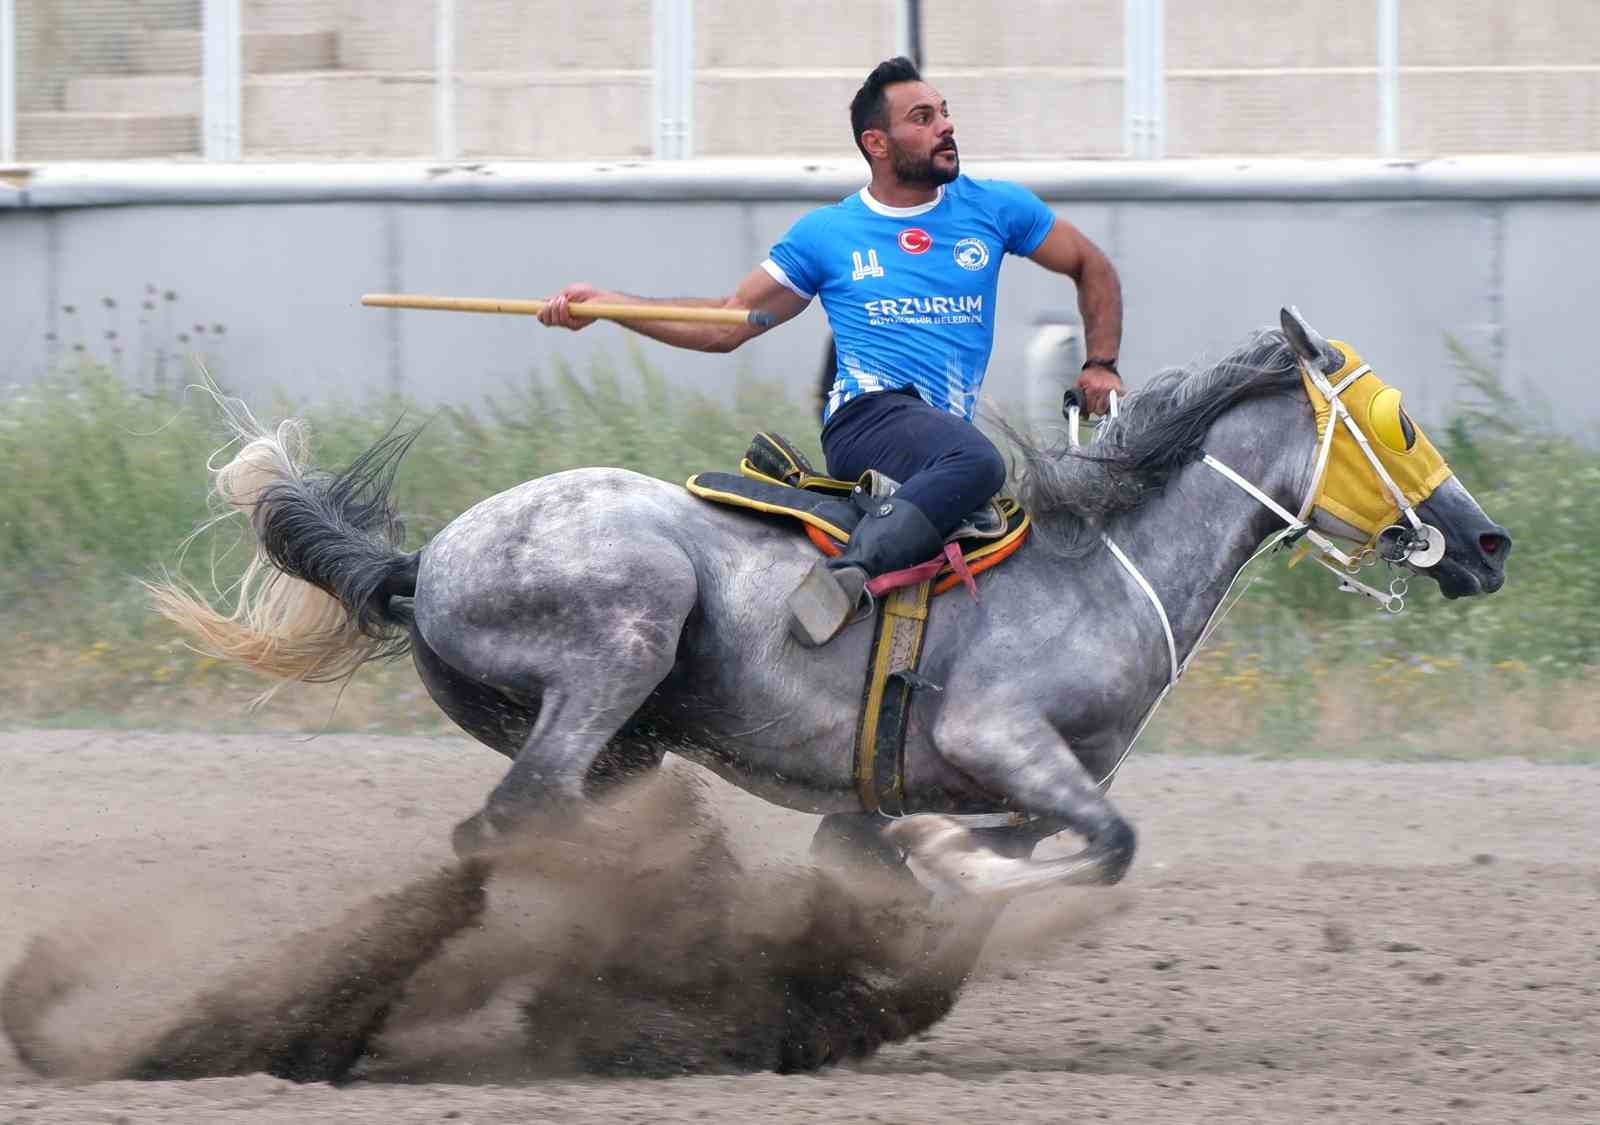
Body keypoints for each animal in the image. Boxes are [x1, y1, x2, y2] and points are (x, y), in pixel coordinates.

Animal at [152, 310, 1510, 896]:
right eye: (1397, 423)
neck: (1103, 565)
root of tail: (427, 558)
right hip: (617, 650)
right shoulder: (996, 735)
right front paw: (953, 873)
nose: (1488, 543)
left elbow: (977, 841)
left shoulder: (1010, 785)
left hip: (623, 741)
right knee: (507, 823)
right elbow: (1103, 848)